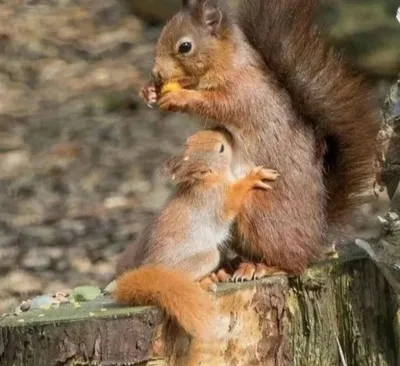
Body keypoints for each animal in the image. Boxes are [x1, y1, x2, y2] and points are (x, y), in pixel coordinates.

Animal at [113, 127, 278, 338]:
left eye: (191, 138)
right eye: (221, 148)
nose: (223, 131)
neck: (208, 181)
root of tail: (152, 269)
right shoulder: (216, 200)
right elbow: (232, 200)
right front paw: (253, 177)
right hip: (204, 258)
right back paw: (205, 282)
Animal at [140, 0, 378, 278]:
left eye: (185, 46)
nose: (156, 73)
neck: (229, 61)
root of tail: (316, 238)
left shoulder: (243, 92)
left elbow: (217, 104)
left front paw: (181, 97)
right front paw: (149, 91)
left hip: (259, 209)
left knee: (292, 262)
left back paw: (263, 267)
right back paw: (230, 267)